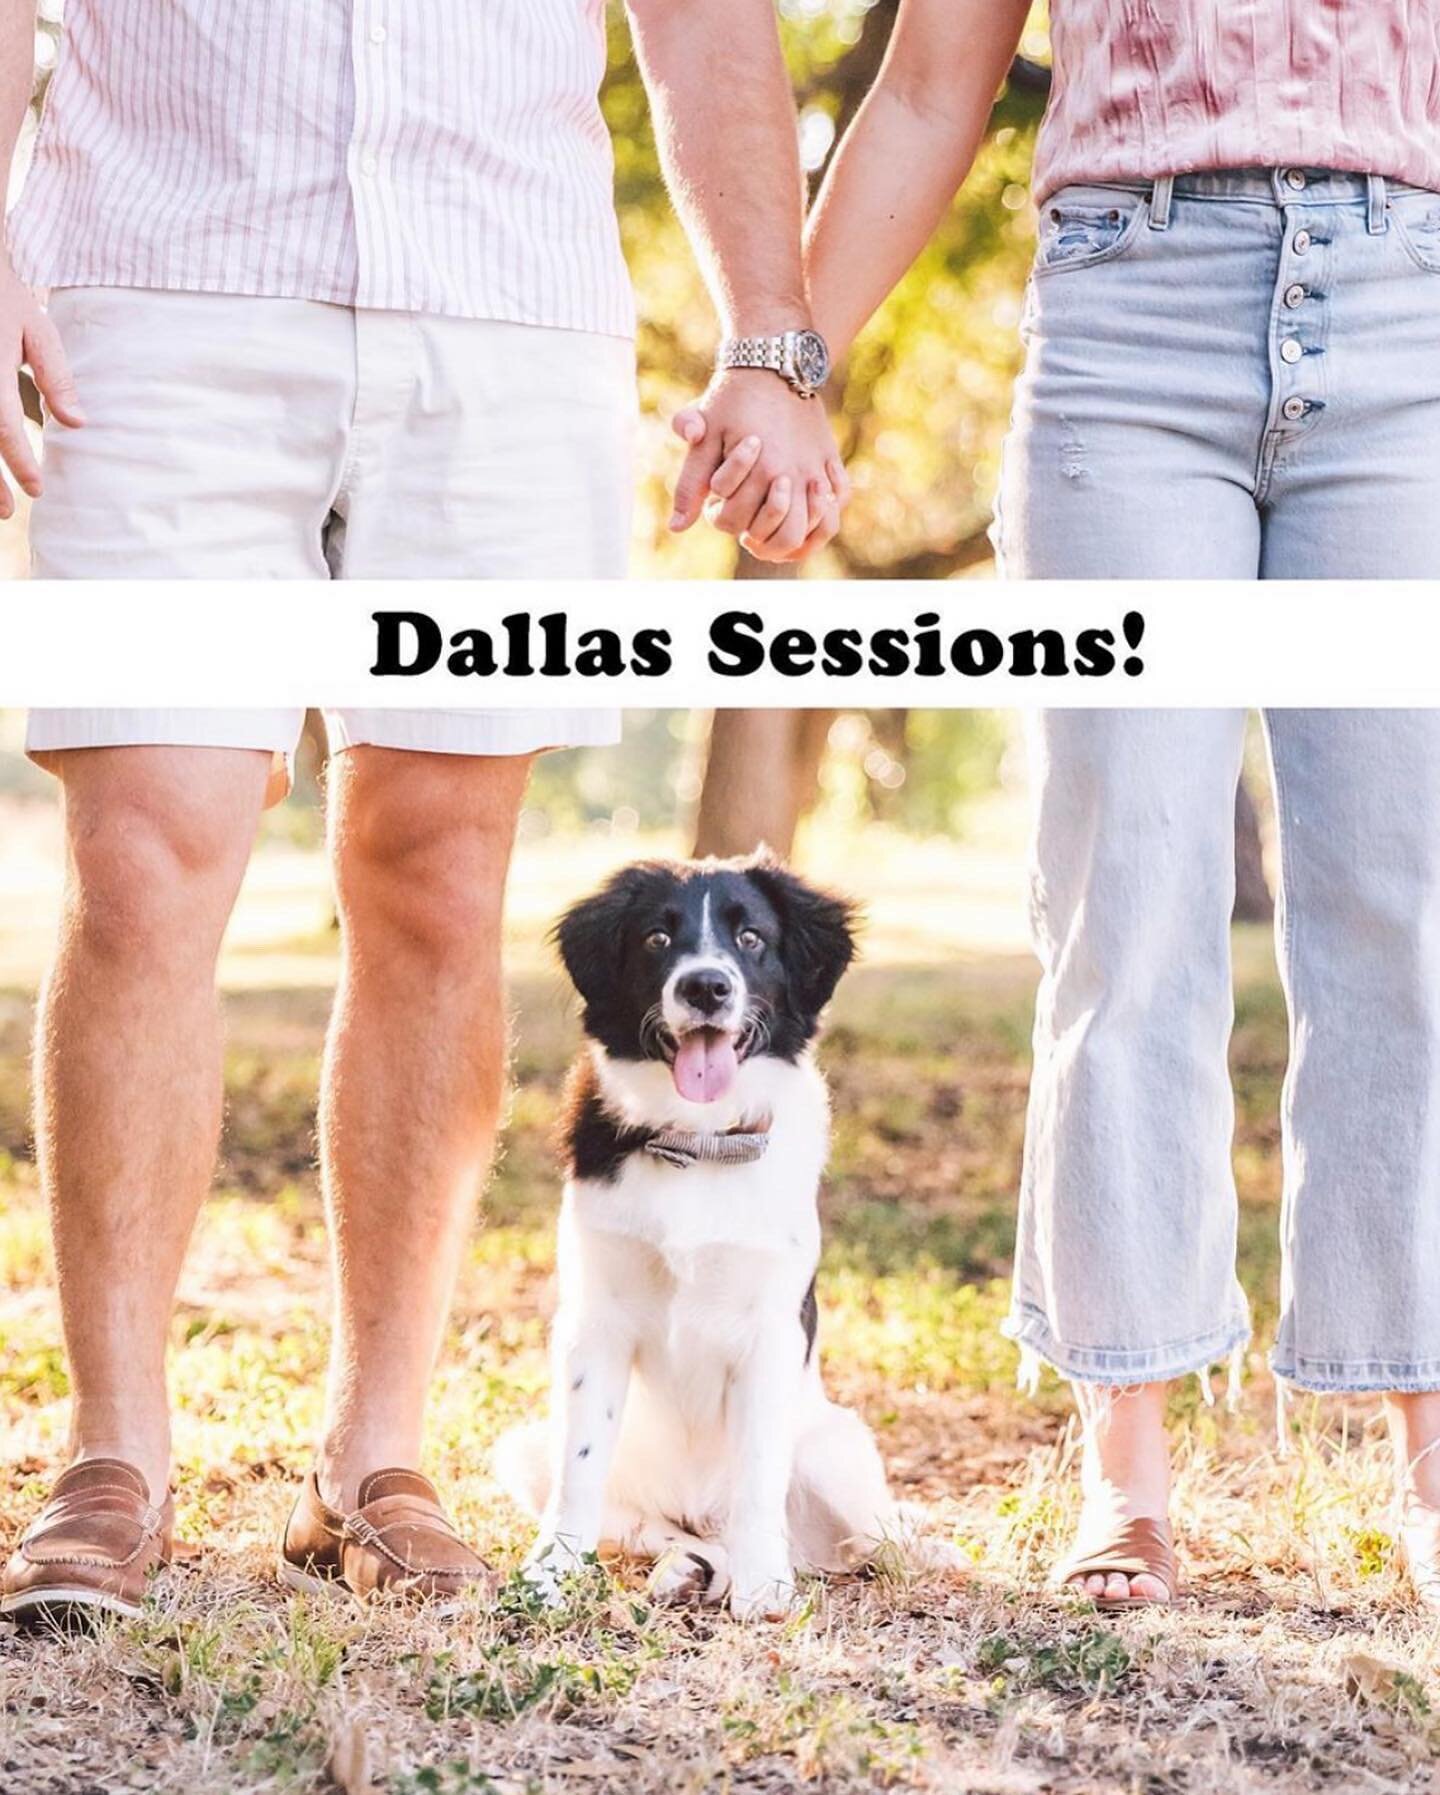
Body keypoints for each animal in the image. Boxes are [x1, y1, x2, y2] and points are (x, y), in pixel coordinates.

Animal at [495, 847, 955, 1622]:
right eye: (657, 937)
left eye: (750, 938)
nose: (706, 986)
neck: (700, 1142)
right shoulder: (595, 1323)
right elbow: (580, 1470)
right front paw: (550, 1574)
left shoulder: (771, 1330)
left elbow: (759, 1473)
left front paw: (765, 1585)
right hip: (526, 1448)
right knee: (665, 1529)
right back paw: (688, 1568)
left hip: (836, 1447)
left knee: (866, 1536)